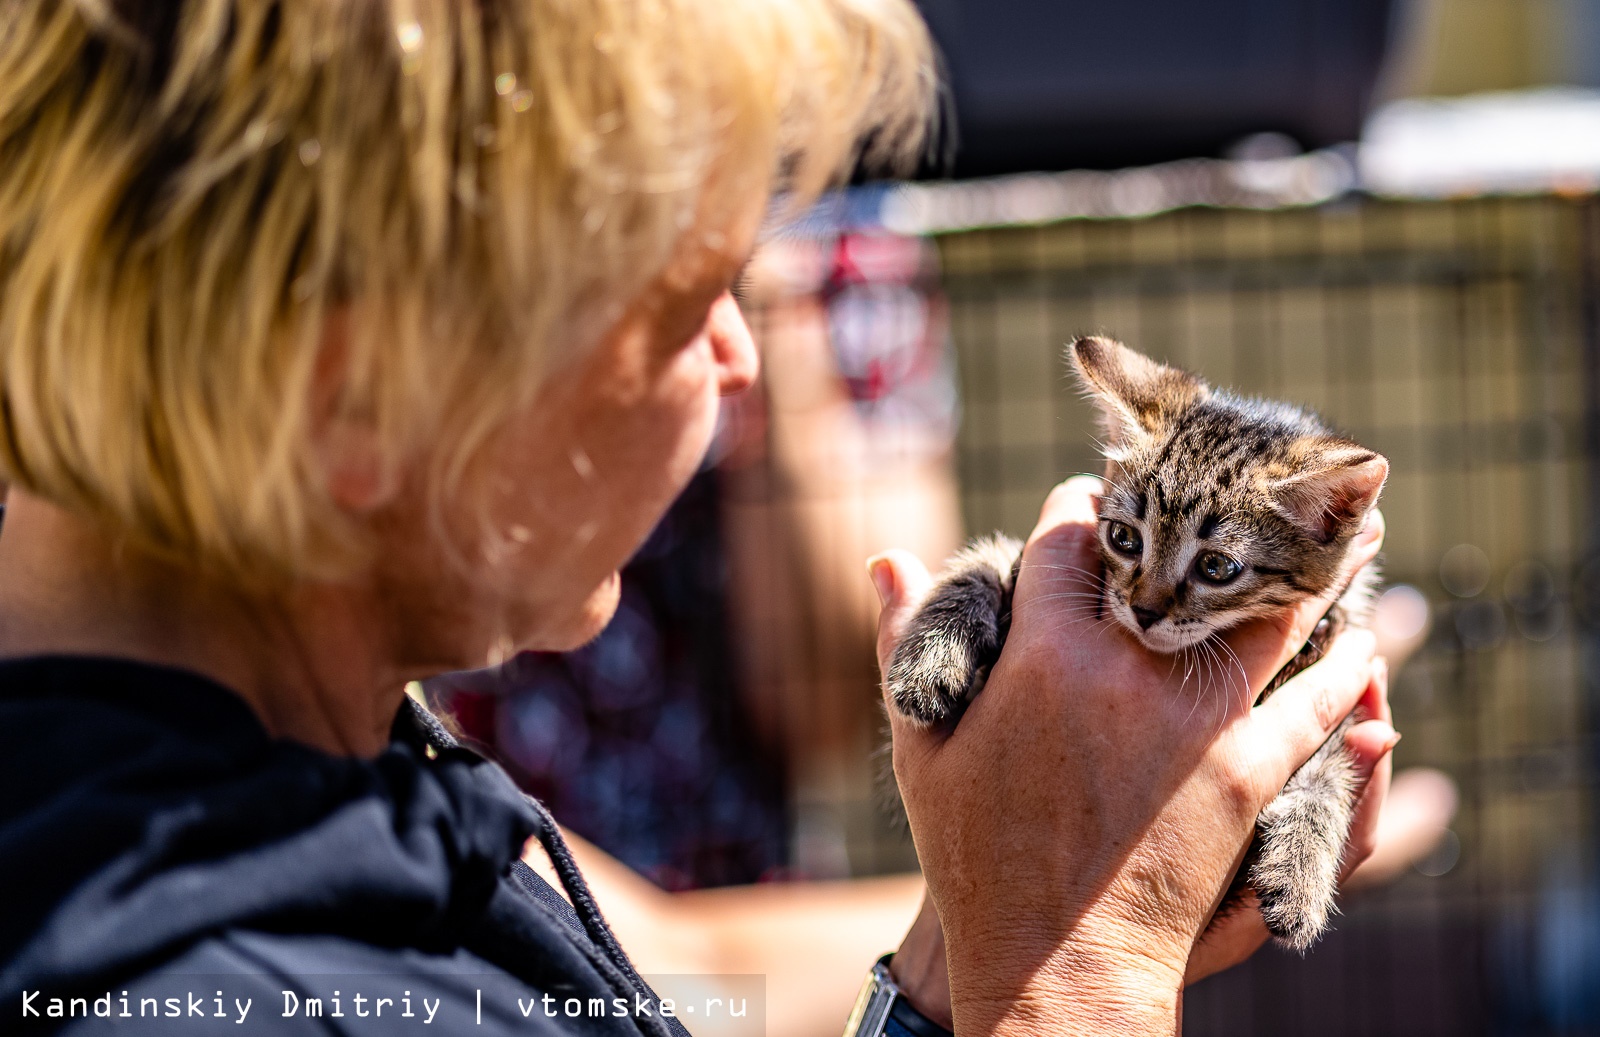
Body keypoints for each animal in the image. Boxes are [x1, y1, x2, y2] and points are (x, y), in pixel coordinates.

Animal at [889, 337, 1388, 947]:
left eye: (1216, 567)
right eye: (1125, 538)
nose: (1144, 611)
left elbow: (1330, 770)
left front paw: (1300, 869)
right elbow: (987, 558)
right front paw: (930, 659)